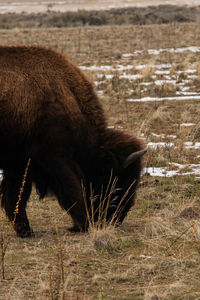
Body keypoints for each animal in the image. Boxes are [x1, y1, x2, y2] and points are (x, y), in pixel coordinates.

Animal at [0, 45, 147, 237]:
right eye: (117, 183)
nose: (115, 220)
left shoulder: (20, 164)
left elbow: (16, 196)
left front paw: (25, 230)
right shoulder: (55, 159)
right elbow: (71, 191)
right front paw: (84, 225)